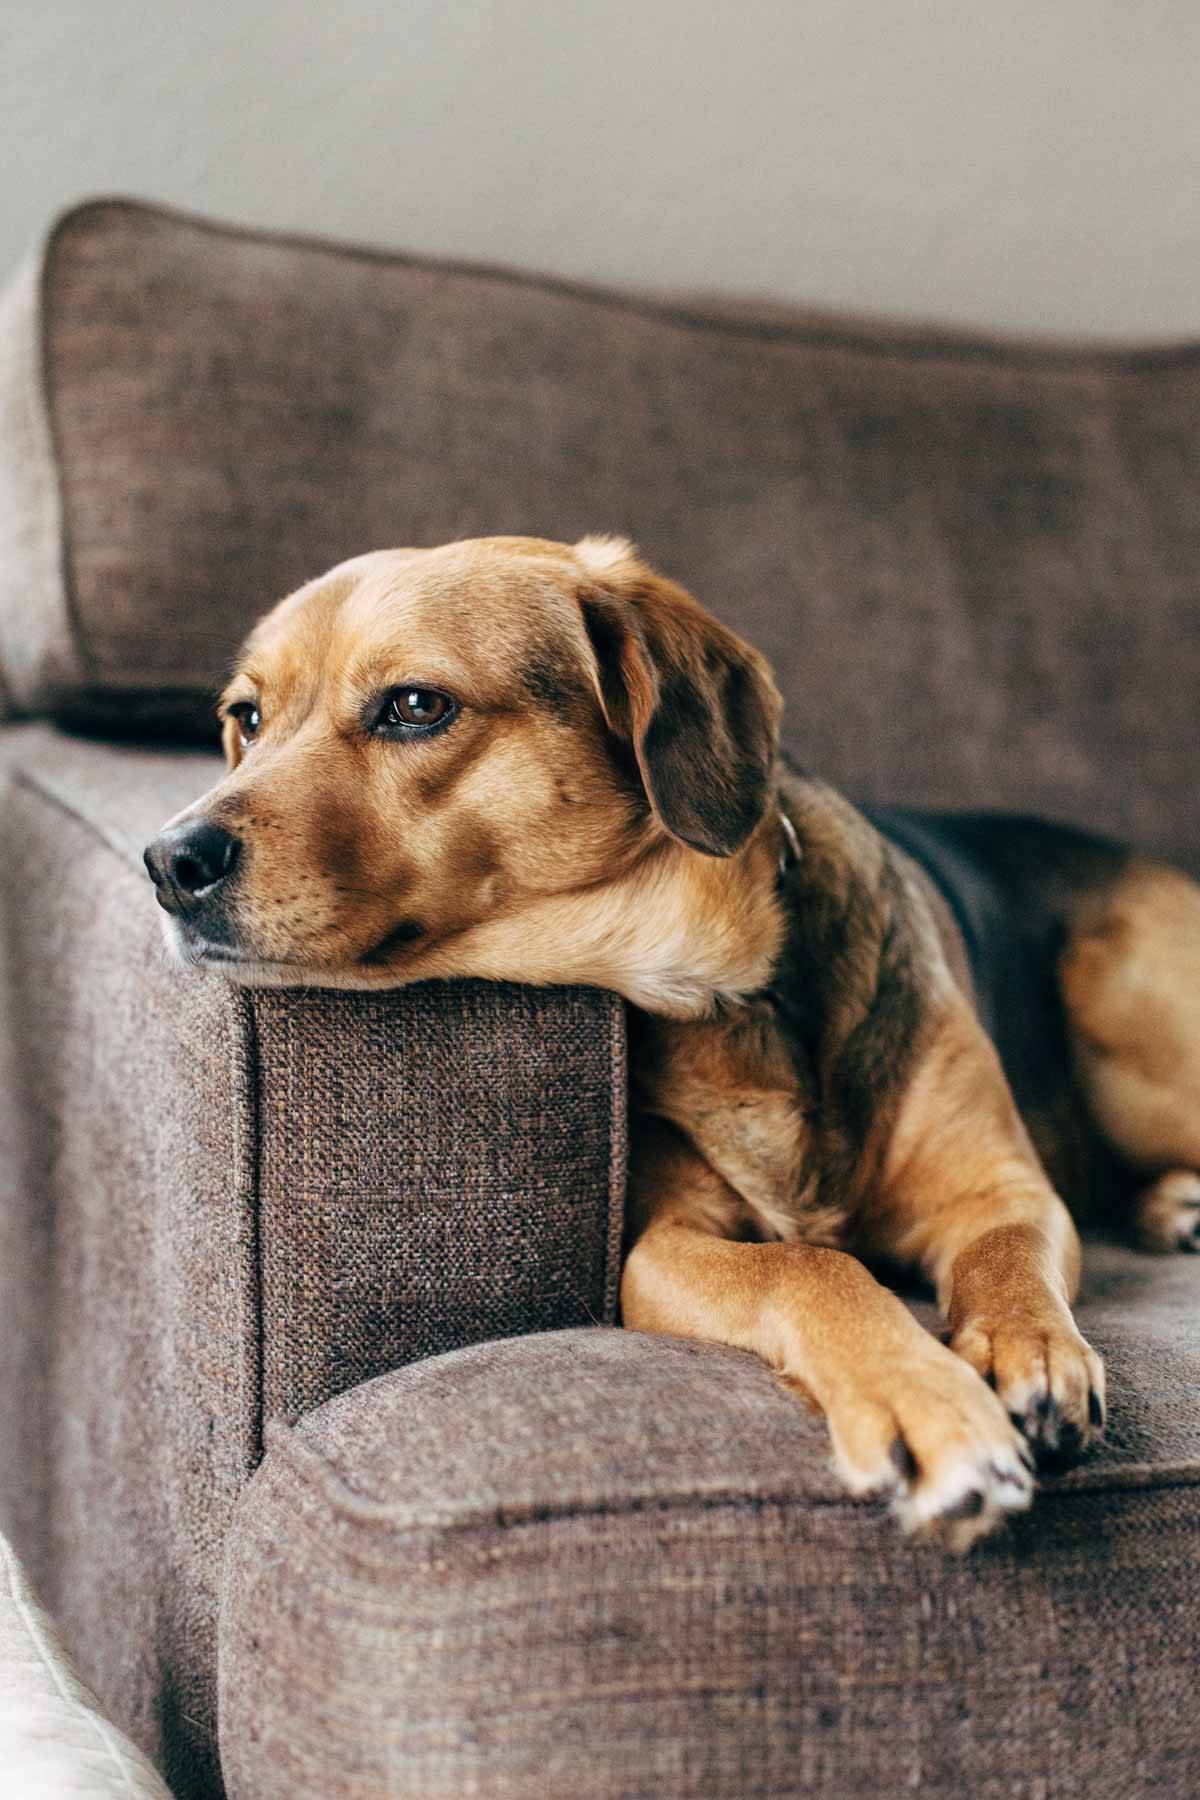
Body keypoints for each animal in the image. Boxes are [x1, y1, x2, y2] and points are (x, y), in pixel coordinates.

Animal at [145, 532, 1200, 1548]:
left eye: (413, 706)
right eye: (246, 719)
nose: (166, 862)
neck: (720, 986)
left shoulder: (1003, 1191)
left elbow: (1006, 1259)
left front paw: (1034, 1352)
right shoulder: (658, 1247)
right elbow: (810, 1266)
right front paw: (927, 1404)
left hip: (1125, 1021)